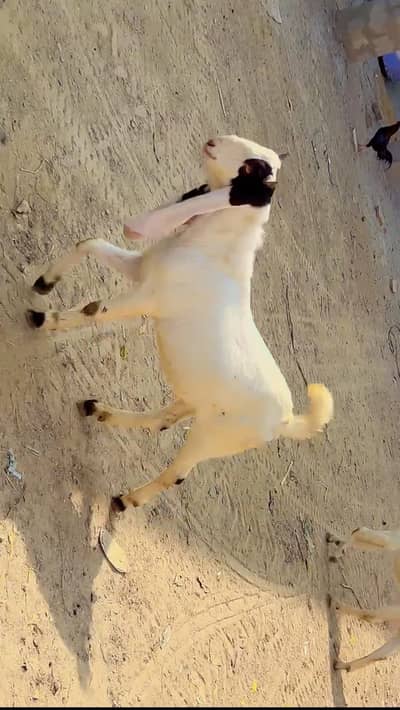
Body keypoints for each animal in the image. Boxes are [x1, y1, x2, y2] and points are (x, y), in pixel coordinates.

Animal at [26, 134, 333, 512]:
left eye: (252, 169)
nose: (212, 141)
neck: (213, 251)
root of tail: (287, 420)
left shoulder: (149, 298)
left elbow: (91, 310)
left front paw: (42, 318)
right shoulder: (141, 269)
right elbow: (90, 243)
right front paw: (44, 283)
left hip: (212, 438)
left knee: (178, 474)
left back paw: (126, 500)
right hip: (197, 401)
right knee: (163, 419)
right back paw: (100, 411)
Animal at [327, 527, 400, 672]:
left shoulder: (394, 540)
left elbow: (361, 532)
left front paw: (338, 552)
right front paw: (335, 540)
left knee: (370, 616)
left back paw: (335, 603)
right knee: (380, 656)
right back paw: (340, 665)